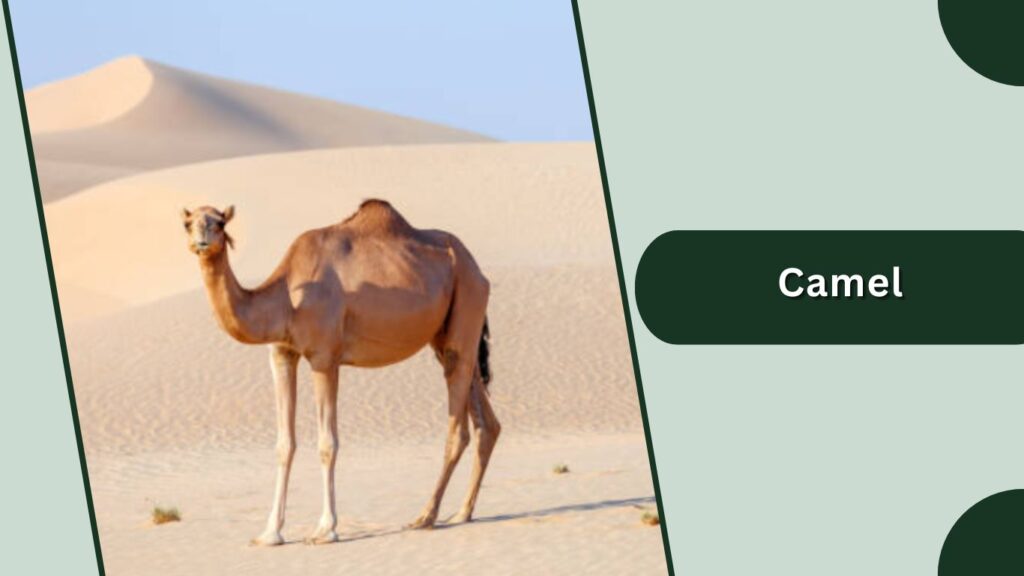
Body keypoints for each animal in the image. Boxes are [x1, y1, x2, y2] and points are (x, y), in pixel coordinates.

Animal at [180, 199, 499, 546]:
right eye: (188, 223)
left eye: (220, 223)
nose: (202, 241)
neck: (287, 300)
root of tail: (477, 269)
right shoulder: (281, 355)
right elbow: (284, 444)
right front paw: (270, 532)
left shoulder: (325, 358)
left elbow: (327, 444)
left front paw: (325, 529)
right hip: (447, 335)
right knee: (486, 421)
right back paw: (462, 512)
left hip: (466, 301)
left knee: (458, 426)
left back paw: (425, 517)